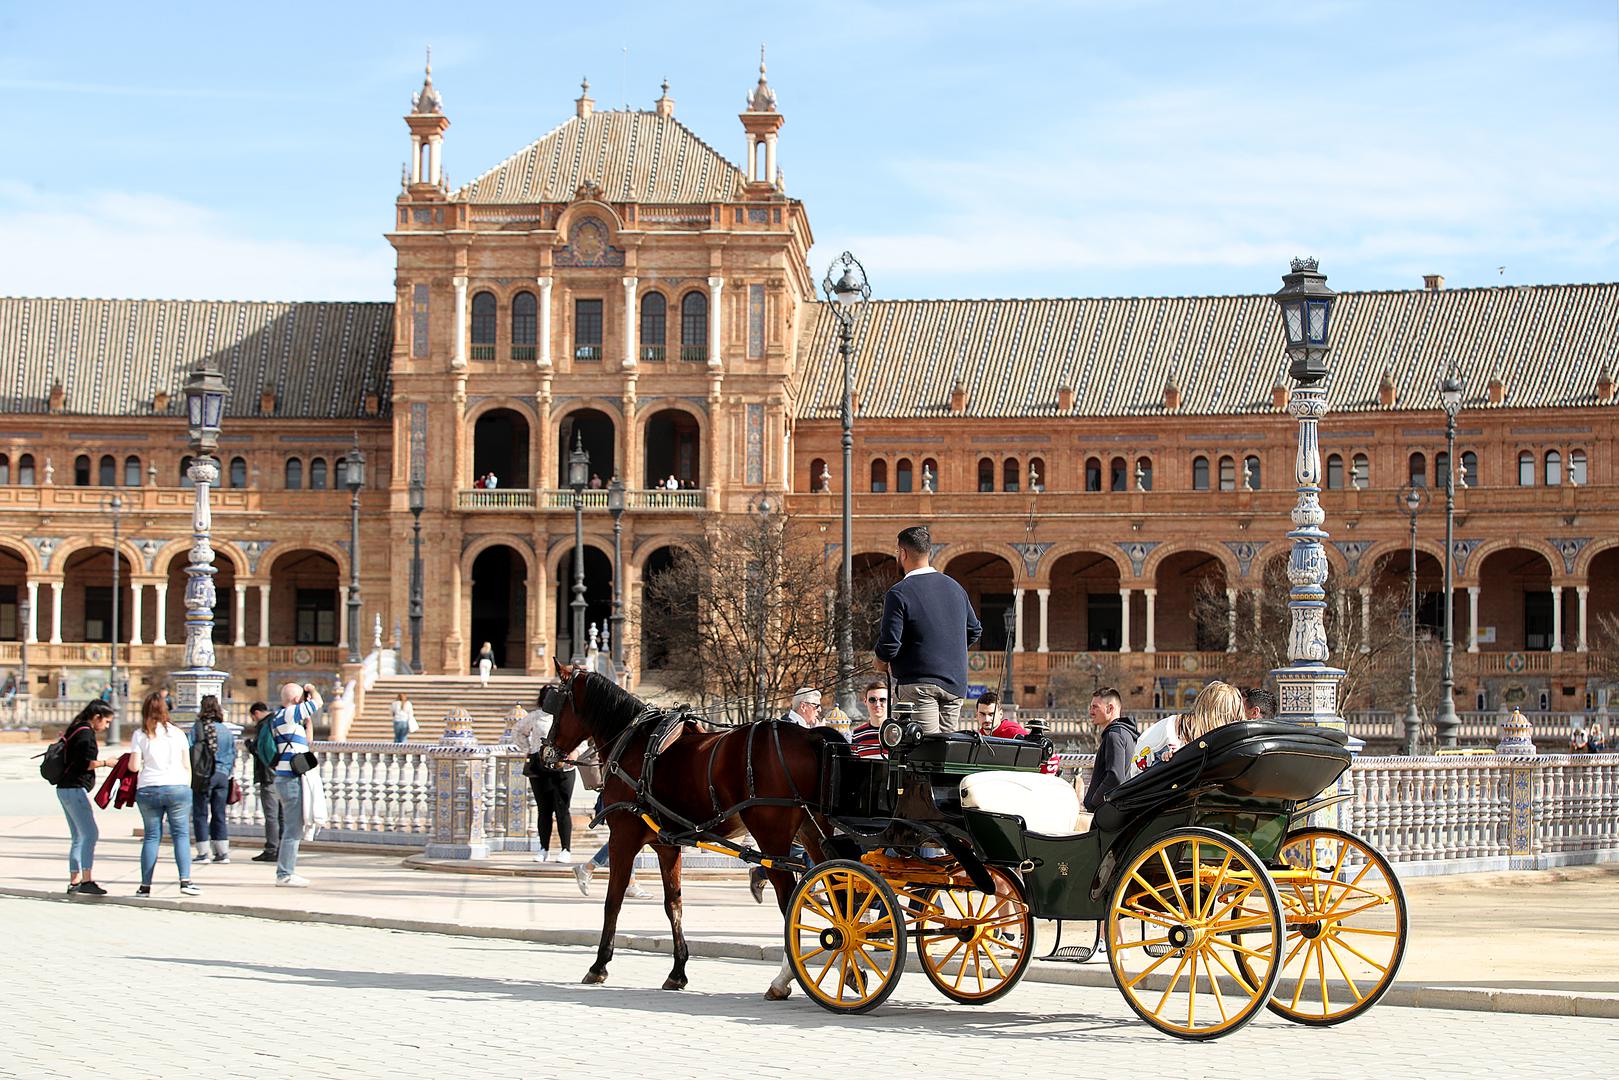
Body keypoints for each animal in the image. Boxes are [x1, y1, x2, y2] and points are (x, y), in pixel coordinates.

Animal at [543, 663, 841, 1003]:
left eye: (555, 704)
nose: (545, 752)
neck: (633, 743)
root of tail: (810, 735)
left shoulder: (623, 837)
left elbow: (613, 901)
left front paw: (599, 965)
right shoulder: (666, 844)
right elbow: (674, 903)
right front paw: (678, 971)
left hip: (772, 839)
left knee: (792, 902)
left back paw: (786, 976)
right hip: (814, 833)